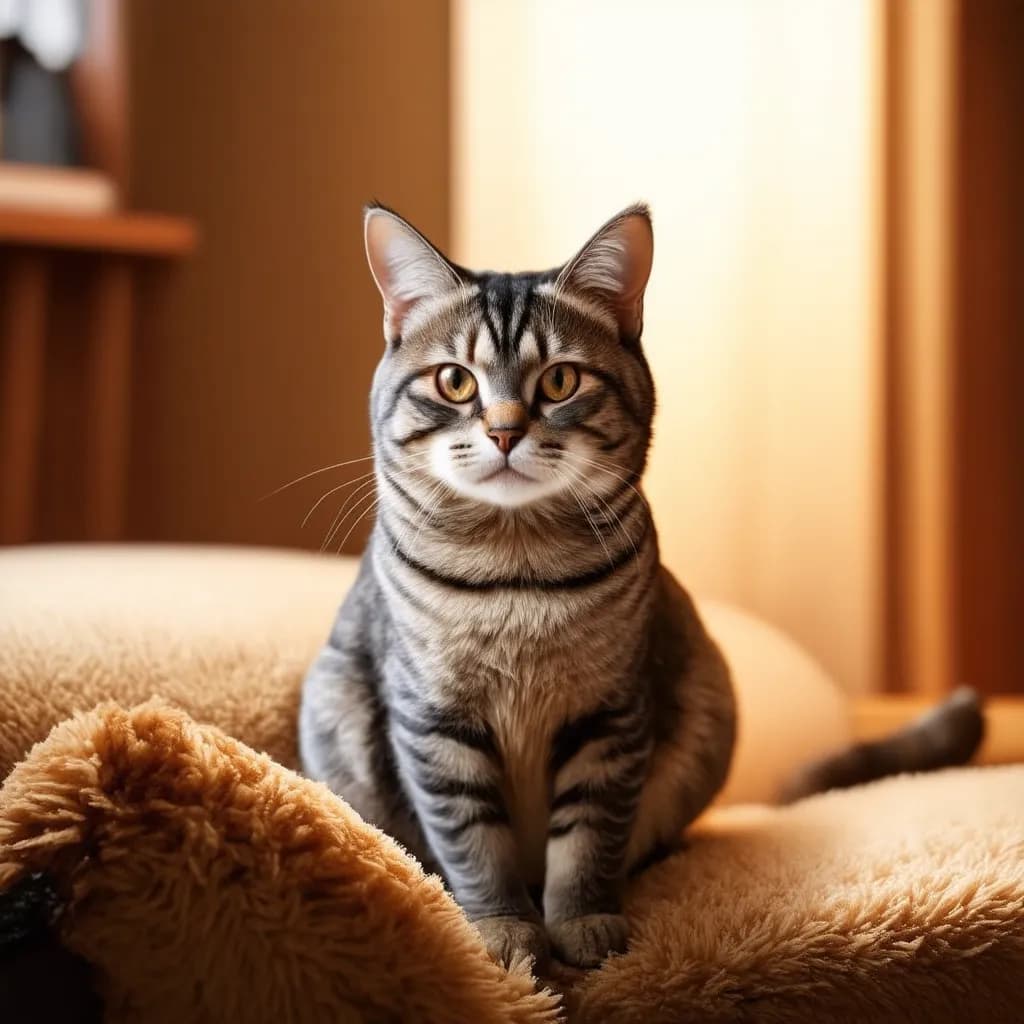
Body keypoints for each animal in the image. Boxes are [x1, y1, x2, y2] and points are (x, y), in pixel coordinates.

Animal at [299, 203, 983, 970]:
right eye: (455, 382)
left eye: (559, 382)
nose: (505, 432)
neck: (517, 573)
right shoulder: (436, 721)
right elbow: (474, 843)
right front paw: (504, 930)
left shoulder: (610, 714)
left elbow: (588, 840)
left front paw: (582, 923)